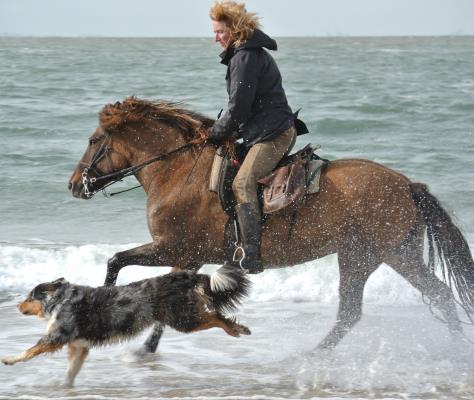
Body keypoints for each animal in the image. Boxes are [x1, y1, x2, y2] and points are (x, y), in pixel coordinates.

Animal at [0, 266, 252, 388]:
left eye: (29, 297)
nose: (17, 305)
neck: (60, 300)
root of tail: (183, 275)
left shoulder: (56, 337)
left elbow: (29, 351)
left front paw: (9, 360)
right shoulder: (79, 345)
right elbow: (71, 370)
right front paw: (64, 387)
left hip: (182, 319)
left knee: (215, 317)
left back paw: (235, 330)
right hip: (185, 316)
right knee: (217, 315)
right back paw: (239, 329)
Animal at [68, 98, 472, 352]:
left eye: (93, 140)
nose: (74, 184)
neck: (178, 171)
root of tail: (407, 184)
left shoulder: (174, 249)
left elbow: (115, 262)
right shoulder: (189, 258)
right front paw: (145, 350)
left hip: (362, 257)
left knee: (353, 311)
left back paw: (313, 355)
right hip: (395, 253)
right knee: (436, 294)